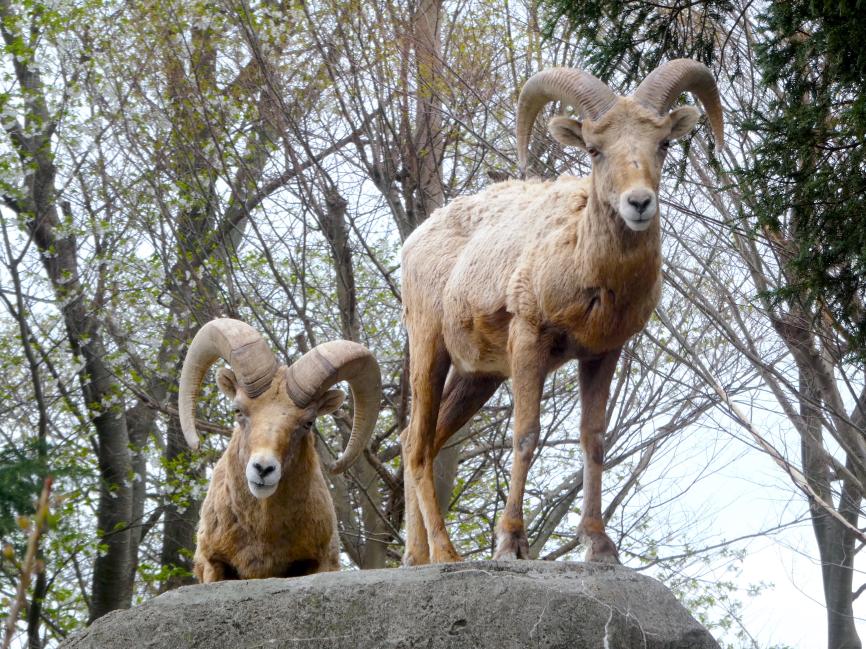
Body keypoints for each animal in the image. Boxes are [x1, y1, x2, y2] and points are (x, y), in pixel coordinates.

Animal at [400, 58, 724, 564]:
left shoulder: (602, 355)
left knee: (423, 443)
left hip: (477, 379)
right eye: (594, 150)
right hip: (429, 350)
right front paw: (511, 543)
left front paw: (599, 545)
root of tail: (414, 242)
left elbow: (594, 440)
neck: (585, 266)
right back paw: (447, 555)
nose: (638, 203)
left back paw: (415, 559)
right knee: (416, 446)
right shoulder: (529, 340)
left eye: (664, 143)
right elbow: (526, 434)